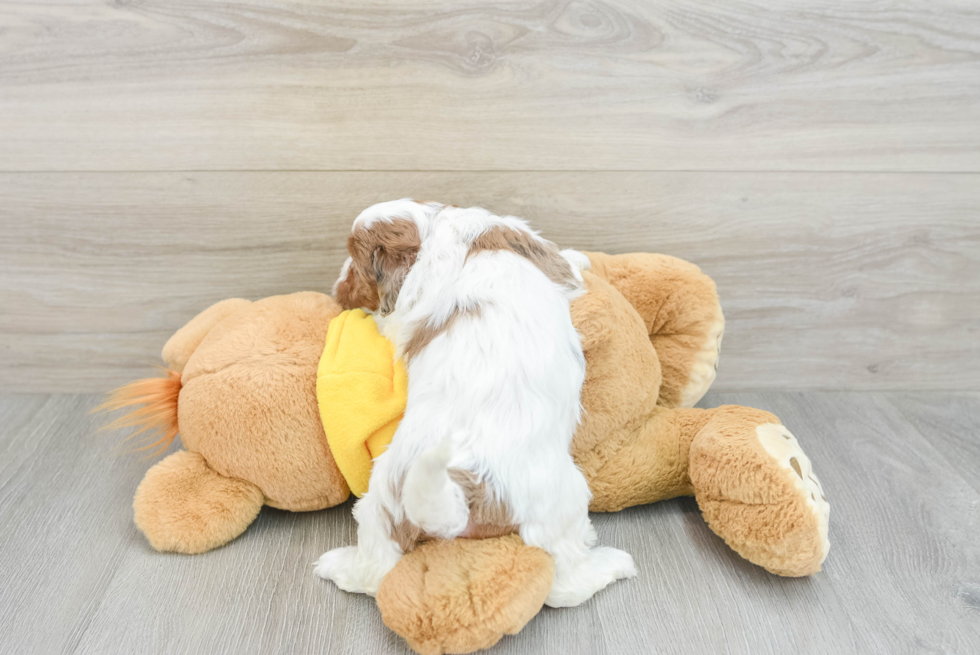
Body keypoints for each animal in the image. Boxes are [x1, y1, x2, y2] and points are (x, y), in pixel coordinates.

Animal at [314, 200, 636, 608]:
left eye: (356, 267)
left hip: (382, 501)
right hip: (563, 500)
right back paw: (612, 563)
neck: (433, 230)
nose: (336, 288)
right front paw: (581, 256)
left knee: (375, 569)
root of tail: (463, 491)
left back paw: (334, 565)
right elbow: (568, 265)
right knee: (566, 581)